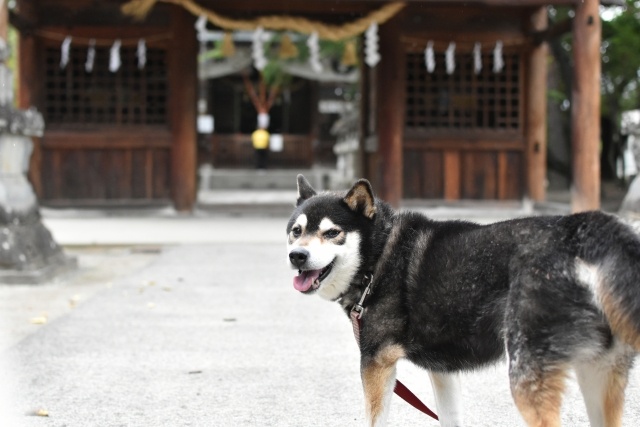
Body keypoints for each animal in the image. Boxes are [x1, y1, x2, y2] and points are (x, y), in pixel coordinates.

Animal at [288, 175, 640, 427]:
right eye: (296, 231)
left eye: (331, 233)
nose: (297, 256)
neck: (380, 256)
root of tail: (579, 230)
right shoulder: (442, 369)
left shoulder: (376, 363)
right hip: (597, 372)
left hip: (527, 374)